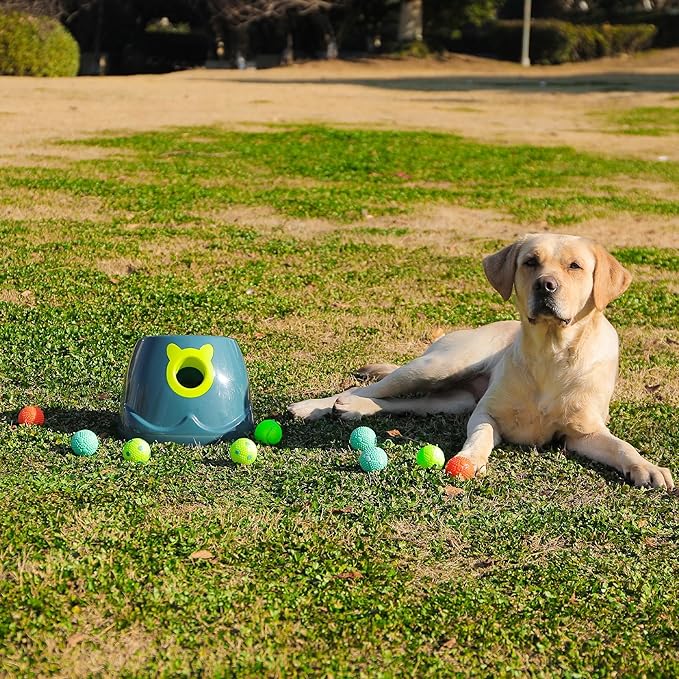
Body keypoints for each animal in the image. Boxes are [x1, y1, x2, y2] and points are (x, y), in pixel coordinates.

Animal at [290, 234, 676, 488]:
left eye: (575, 266)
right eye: (530, 262)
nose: (546, 285)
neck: (551, 353)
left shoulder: (582, 433)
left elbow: (621, 446)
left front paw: (647, 467)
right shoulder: (485, 413)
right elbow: (480, 436)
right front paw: (470, 460)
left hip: (454, 399)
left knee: (402, 403)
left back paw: (353, 409)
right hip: (437, 366)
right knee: (373, 388)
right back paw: (320, 405)